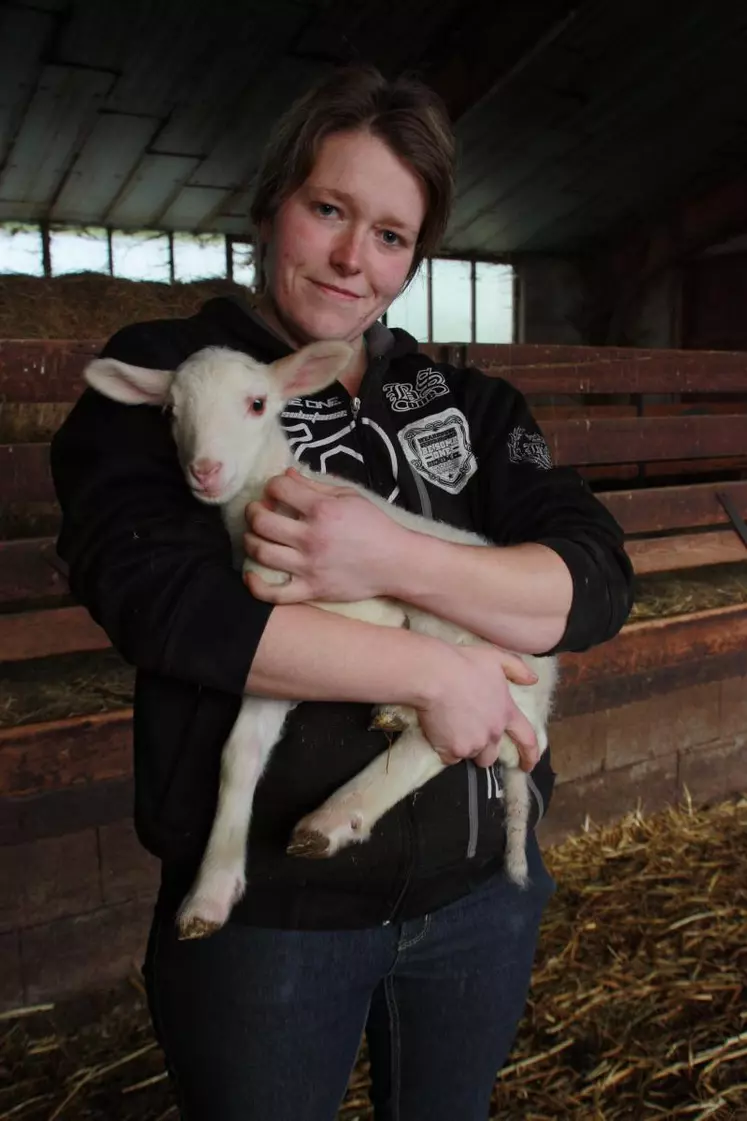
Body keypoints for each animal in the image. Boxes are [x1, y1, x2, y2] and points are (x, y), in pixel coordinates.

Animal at [84, 340, 556, 937]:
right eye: (170, 412)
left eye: (257, 404)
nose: (206, 471)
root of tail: (548, 685)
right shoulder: (275, 648)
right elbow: (238, 754)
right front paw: (210, 890)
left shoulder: (371, 607)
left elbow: (396, 635)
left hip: (484, 651)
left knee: (461, 733)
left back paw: (336, 814)